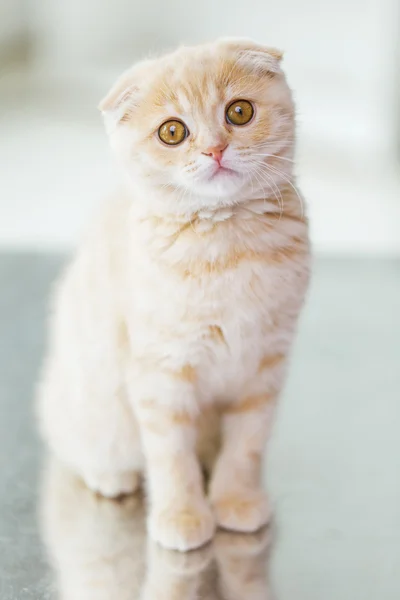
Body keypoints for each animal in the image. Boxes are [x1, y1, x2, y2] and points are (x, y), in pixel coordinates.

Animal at [37, 37, 310, 552]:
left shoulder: (265, 366)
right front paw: (181, 516)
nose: (215, 149)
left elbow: (247, 444)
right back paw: (110, 476)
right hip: (94, 409)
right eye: (172, 132)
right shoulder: (160, 370)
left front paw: (237, 500)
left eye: (239, 112)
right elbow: (171, 456)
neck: (228, 246)